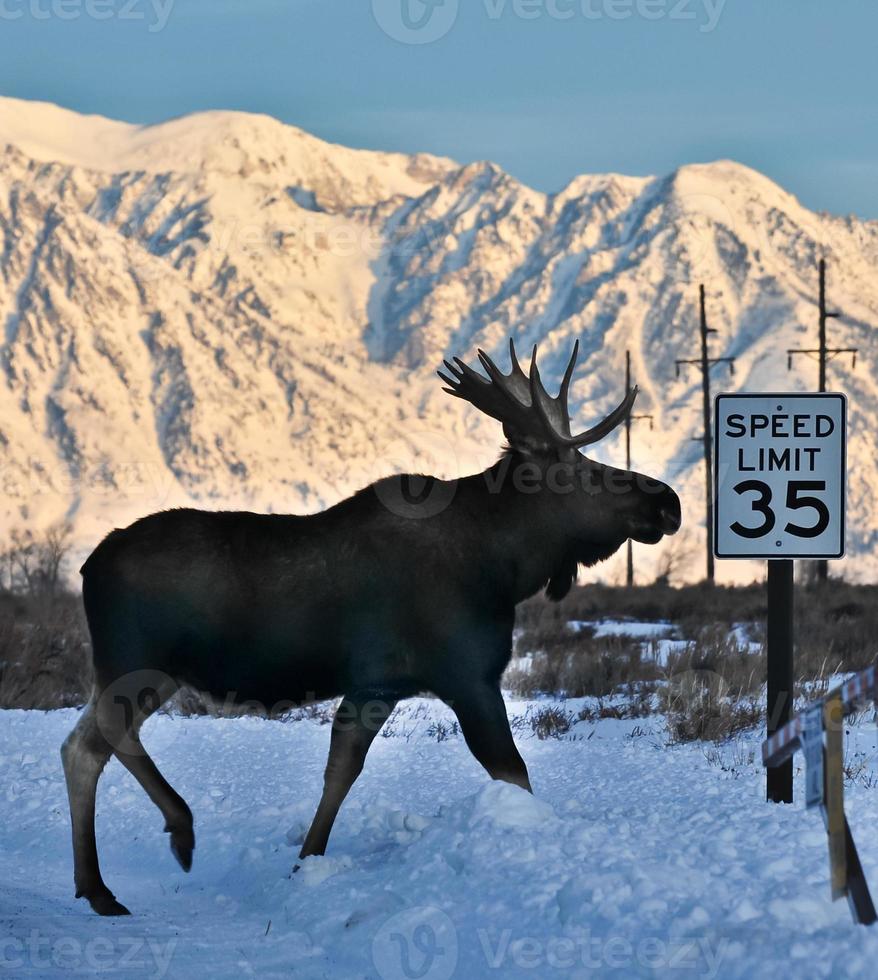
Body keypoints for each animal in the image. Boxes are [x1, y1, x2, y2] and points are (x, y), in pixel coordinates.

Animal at [62, 340, 680, 916]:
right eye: (587, 470)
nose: (669, 503)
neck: (505, 565)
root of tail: (88, 566)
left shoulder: (376, 686)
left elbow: (341, 770)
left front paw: (306, 861)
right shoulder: (468, 675)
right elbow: (512, 770)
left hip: (146, 672)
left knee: (81, 746)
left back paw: (97, 889)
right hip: (138, 661)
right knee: (108, 735)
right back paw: (179, 828)